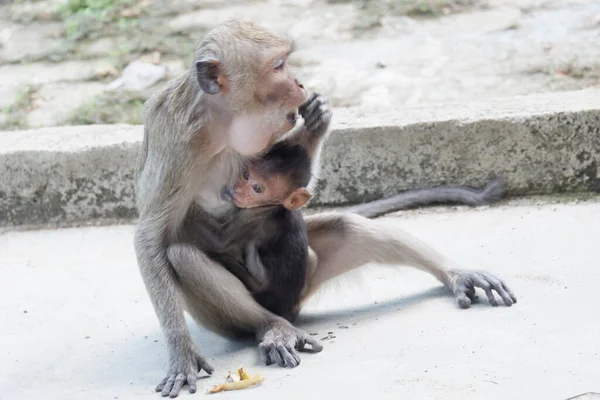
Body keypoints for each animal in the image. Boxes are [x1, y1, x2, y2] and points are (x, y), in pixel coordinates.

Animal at [135, 18, 516, 396]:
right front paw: (181, 351)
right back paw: (271, 326)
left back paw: (454, 273)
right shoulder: (178, 141)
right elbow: (151, 236)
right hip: (233, 319)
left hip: (306, 281)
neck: (224, 120)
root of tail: (291, 309)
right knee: (184, 256)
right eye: (278, 65)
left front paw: (318, 123)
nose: (299, 82)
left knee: (348, 228)